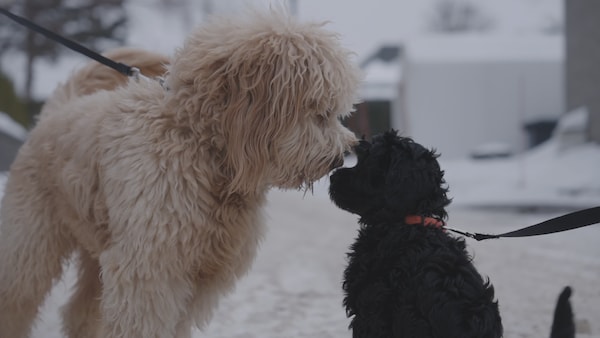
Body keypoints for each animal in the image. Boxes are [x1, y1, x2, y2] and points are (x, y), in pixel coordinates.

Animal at [0, 9, 358, 336]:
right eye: (321, 112)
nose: (341, 156)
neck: (198, 145)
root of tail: (57, 111)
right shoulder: (150, 270)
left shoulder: (201, 276)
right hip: (32, 240)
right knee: (16, 299)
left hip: (98, 247)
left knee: (81, 313)